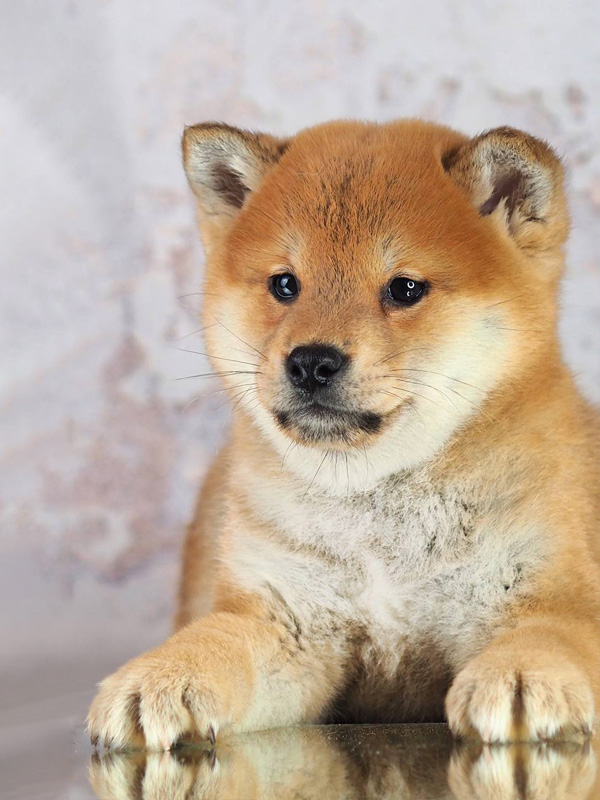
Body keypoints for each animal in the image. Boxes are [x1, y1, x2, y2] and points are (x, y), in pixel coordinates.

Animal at [88, 118, 600, 750]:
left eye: (404, 289)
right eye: (285, 285)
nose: (311, 361)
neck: (378, 522)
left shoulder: (545, 589)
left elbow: (551, 634)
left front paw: (524, 673)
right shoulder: (286, 620)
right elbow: (217, 640)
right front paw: (162, 675)